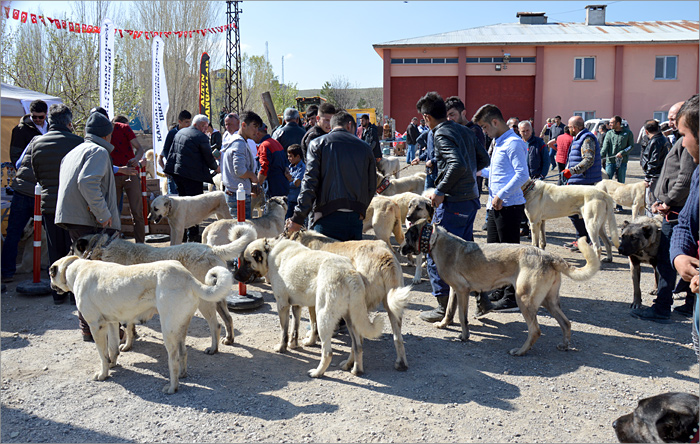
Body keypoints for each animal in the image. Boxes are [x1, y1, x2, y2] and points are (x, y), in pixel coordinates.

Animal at [50, 255, 235, 394]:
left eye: (51, 274)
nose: (51, 286)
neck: (75, 268)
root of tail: (187, 276)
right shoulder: (111, 323)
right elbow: (113, 348)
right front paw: (112, 363)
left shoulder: (96, 326)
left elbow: (102, 355)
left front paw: (103, 374)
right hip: (180, 327)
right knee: (183, 352)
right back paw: (182, 375)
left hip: (168, 330)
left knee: (174, 358)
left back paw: (172, 387)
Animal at [69, 225, 258, 354]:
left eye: (71, 249)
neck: (102, 248)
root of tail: (211, 249)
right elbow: (131, 327)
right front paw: (131, 340)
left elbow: (128, 328)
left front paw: (127, 344)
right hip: (218, 298)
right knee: (228, 318)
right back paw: (229, 339)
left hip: (205, 301)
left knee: (215, 325)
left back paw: (213, 348)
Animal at [234, 239, 386, 378]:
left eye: (246, 262)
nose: (235, 276)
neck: (269, 250)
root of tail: (349, 272)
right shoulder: (296, 306)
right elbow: (294, 329)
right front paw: (293, 345)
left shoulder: (282, 305)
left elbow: (284, 332)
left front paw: (282, 348)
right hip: (351, 319)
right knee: (357, 346)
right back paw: (354, 368)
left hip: (322, 316)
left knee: (328, 352)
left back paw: (318, 372)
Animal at [288, 229, 412, 372]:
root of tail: (385, 256)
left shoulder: (313, 303)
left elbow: (313, 324)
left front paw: (309, 341)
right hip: (392, 308)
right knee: (397, 338)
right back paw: (401, 363)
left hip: (355, 310)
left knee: (358, 342)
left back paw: (350, 365)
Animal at [402, 220, 600, 356]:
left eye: (407, 236)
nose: (402, 249)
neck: (434, 239)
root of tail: (549, 256)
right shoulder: (454, 290)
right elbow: (450, 310)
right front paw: (444, 324)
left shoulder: (462, 290)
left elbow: (462, 317)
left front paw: (464, 336)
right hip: (549, 302)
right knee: (566, 323)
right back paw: (564, 345)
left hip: (524, 299)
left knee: (535, 330)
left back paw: (520, 351)